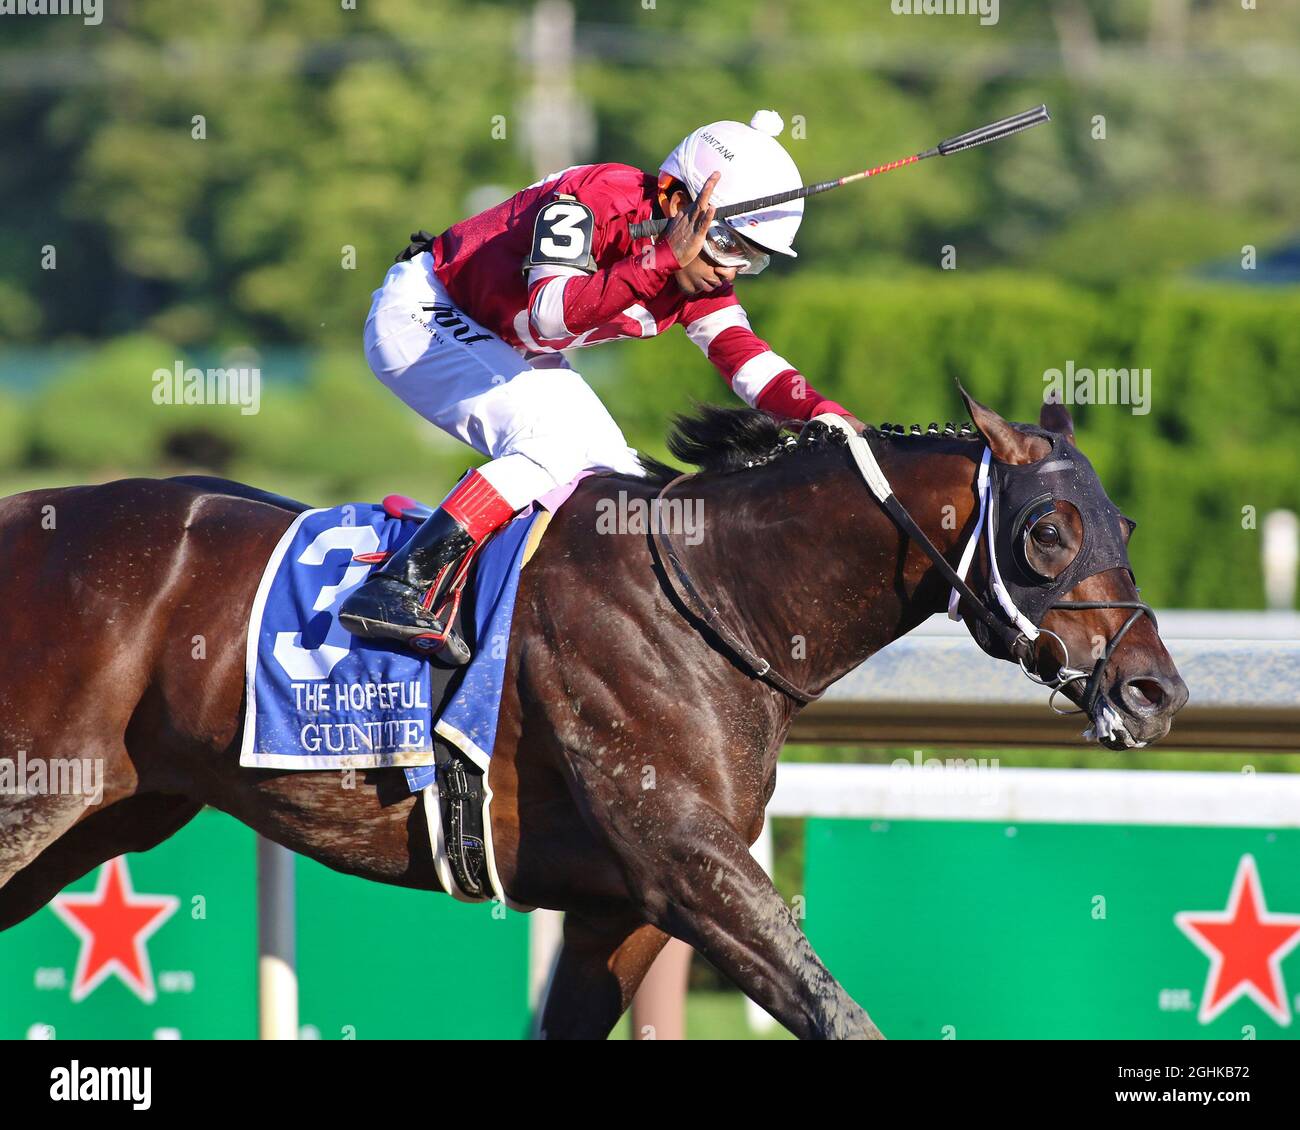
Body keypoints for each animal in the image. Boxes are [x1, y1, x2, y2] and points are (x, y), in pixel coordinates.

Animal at [0, 392, 1185, 1035]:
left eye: (1125, 522)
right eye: (1047, 531)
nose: (1154, 690)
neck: (713, 597)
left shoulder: (624, 904)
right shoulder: (685, 863)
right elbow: (837, 1010)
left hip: (108, 814)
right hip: (34, 796)